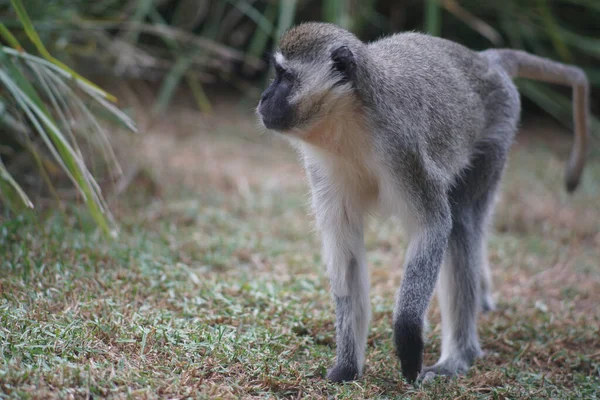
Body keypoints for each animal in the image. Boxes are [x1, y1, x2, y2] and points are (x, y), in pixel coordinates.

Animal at [256, 22, 584, 384]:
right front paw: (346, 366)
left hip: (496, 134)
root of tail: (483, 59)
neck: (349, 122)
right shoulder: (322, 167)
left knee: (462, 223)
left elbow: (434, 225)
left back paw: (458, 357)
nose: (263, 98)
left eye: (284, 77)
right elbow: (346, 251)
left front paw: (407, 335)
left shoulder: (403, 147)